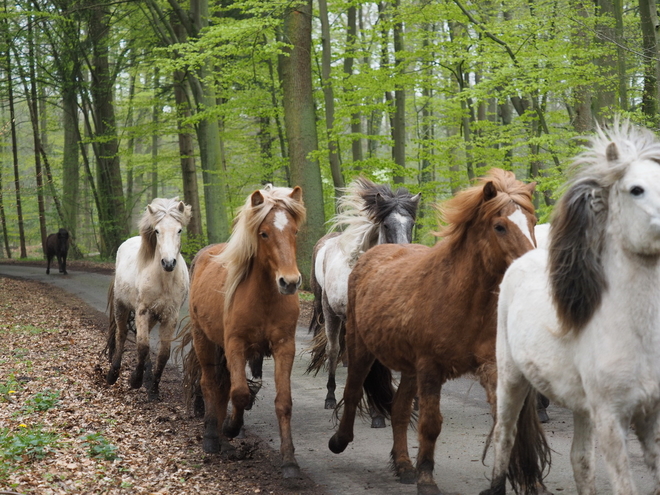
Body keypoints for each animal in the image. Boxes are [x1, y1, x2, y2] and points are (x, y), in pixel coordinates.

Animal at [105, 196, 192, 402]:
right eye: (157, 231)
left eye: (179, 230)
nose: (168, 263)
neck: (164, 280)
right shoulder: (142, 311)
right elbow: (143, 346)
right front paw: (135, 380)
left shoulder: (170, 317)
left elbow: (163, 353)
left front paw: (153, 388)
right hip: (121, 307)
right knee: (121, 335)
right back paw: (113, 374)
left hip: (152, 317)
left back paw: (148, 375)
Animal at [183, 184, 306, 478]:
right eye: (264, 233)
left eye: (294, 231)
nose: (289, 282)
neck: (264, 299)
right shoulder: (235, 344)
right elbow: (239, 393)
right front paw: (230, 427)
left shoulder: (285, 346)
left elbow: (283, 401)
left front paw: (289, 461)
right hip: (204, 341)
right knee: (209, 383)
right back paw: (213, 437)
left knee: (223, 385)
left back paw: (225, 444)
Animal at [306, 177, 420, 422]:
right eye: (386, 225)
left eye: (411, 224)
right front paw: (376, 412)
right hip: (330, 312)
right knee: (333, 349)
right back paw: (331, 397)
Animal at [328, 169, 540, 494]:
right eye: (500, 226)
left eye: (532, 221)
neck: (463, 299)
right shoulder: (430, 369)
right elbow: (430, 424)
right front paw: (426, 478)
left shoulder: (490, 368)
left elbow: (501, 424)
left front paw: (496, 485)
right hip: (361, 348)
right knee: (352, 391)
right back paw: (340, 441)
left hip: (409, 369)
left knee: (400, 410)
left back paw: (404, 465)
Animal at [482, 121, 660, 495]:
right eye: (636, 189)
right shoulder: (611, 418)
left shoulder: (650, 416)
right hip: (511, 378)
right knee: (505, 436)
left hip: (582, 406)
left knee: (581, 461)